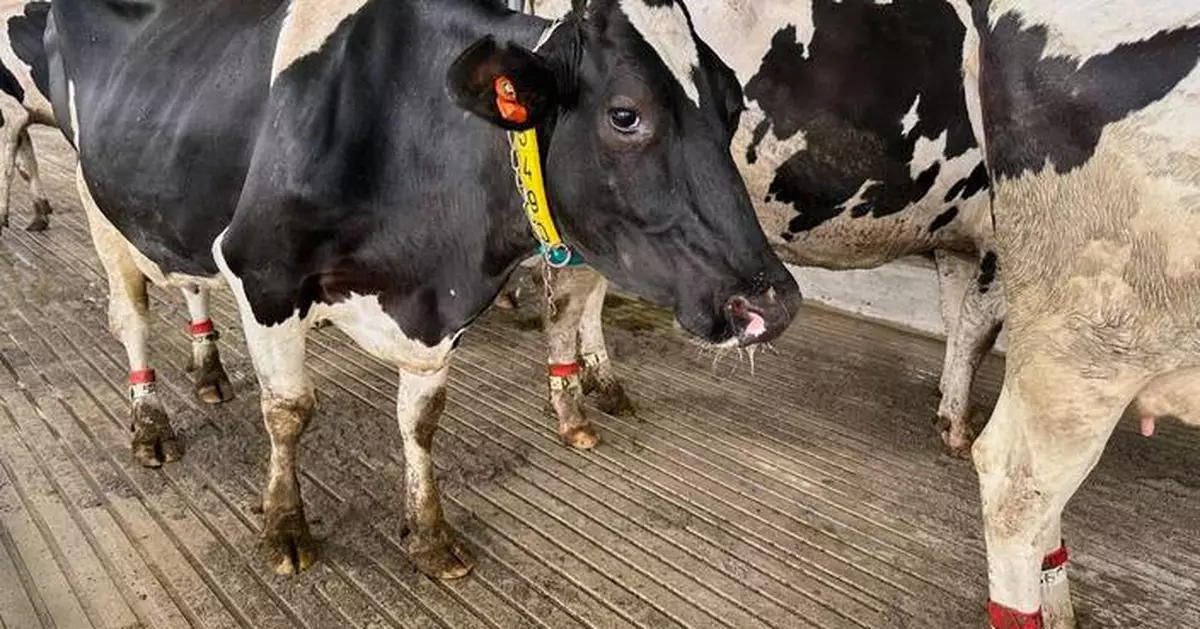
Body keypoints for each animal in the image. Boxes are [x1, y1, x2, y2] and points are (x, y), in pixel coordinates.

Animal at [46, 0, 801, 578]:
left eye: (732, 106)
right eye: (625, 114)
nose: (772, 301)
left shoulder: (437, 310)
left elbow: (421, 420)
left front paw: (429, 531)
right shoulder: (260, 268)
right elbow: (289, 411)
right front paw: (286, 526)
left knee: (186, 284)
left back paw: (209, 373)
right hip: (99, 200)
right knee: (132, 317)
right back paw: (150, 425)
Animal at [522, 0, 1004, 457]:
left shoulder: (959, 242)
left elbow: (955, 317)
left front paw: (946, 396)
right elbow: (978, 331)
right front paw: (958, 426)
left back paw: (603, 383)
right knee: (564, 298)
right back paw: (577, 409)